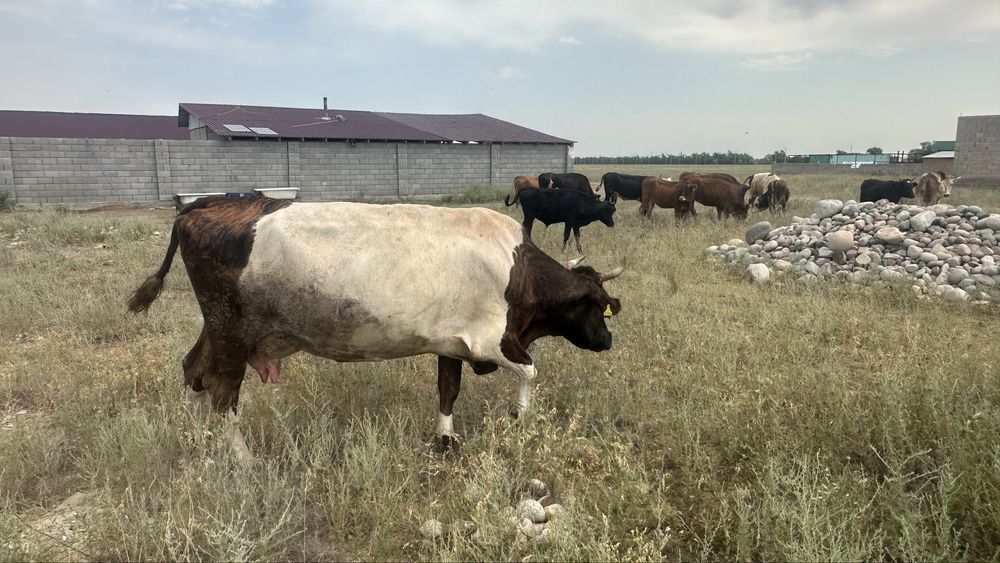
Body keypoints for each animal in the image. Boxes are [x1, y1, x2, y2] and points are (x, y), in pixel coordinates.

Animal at [128, 196, 623, 452]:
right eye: (597, 305)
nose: (608, 339)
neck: (517, 266)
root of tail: (205, 204)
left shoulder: (451, 343)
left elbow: (448, 390)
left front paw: (445, 440)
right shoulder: (492, 341)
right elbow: (531, 370)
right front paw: (520, 415)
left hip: (219, 328)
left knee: (195, 372)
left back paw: (201, 442)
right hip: (231, 331)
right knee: (222, 390)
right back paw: (240, 455)